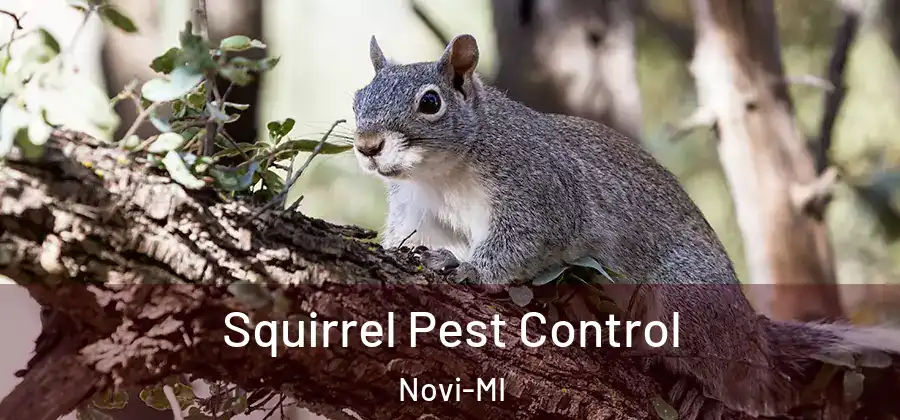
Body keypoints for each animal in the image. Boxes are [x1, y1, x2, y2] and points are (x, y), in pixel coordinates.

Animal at [351, 34, 900, 419]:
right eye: (358, 96)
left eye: (430, 103)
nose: (366, 145)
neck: (442, 173)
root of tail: (750, 331)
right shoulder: (418, 211)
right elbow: (410, 237)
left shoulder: (542, 190)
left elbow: (523, 241)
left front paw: (468, 269)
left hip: (687, 300)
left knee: (745, 382)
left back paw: (703, 392)